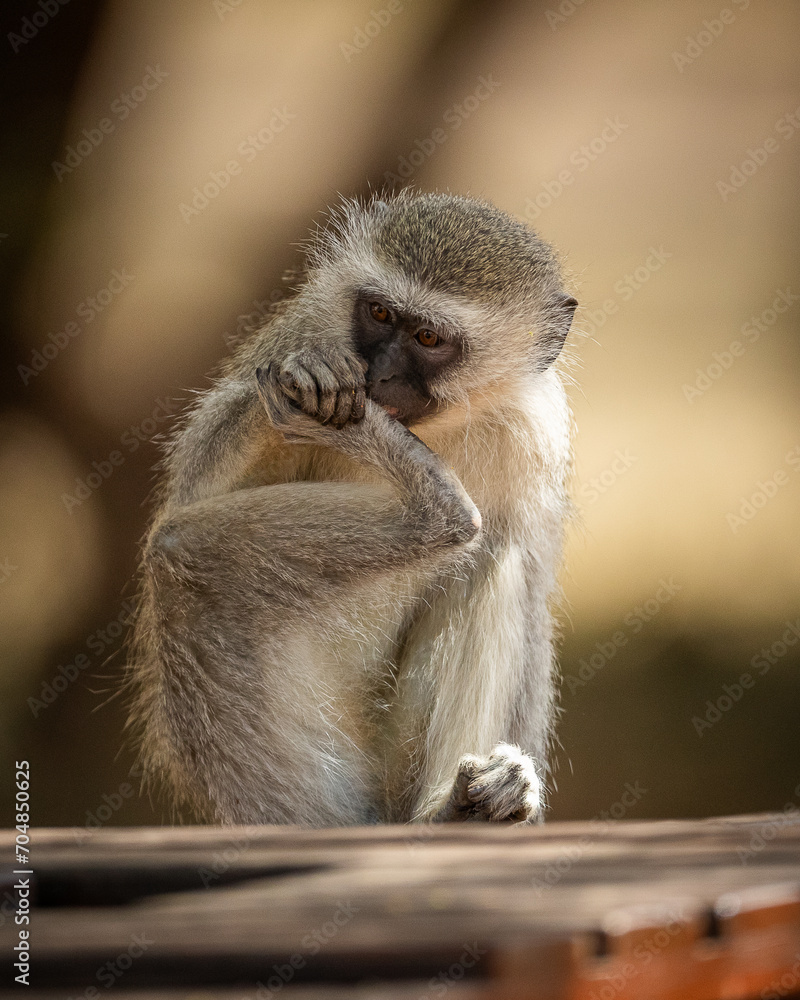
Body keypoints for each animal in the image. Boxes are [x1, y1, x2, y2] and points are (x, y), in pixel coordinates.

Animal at [127, 189, 577, 827]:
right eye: (381, 315)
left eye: (429, 339)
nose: (378, 374)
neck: (434, 428)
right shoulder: (299, 328)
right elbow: (193, 487)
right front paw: (307, 375)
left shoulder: (535, 437)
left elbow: (530, 583)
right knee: (181, 554)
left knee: (493, 556)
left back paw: (454, 810)